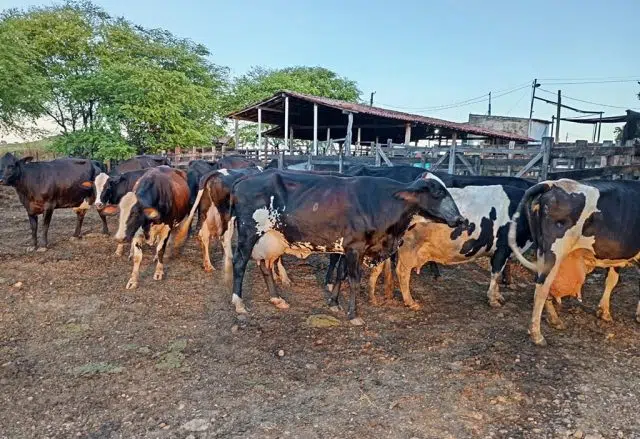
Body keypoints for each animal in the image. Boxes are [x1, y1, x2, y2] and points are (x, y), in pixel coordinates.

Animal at [228, 170, 468, 324]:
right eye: (437, 193)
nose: (461, 219)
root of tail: (243, 179)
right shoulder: (355, 248)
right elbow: (353, 279)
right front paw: (354, 315)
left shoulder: (345, 249)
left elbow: (340, 275)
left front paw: (334, 303)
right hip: (249, 233)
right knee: (239, 263)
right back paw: (239, 303)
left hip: (271, 239)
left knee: (265, 266)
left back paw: (277, 299)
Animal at [512, 179, 640, 348]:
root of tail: (553, 184)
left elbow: (611, 280)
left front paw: (604, 312)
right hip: (555, 251)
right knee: (542, 287)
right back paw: (537, 335)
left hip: (542, 250)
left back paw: (555, 320)